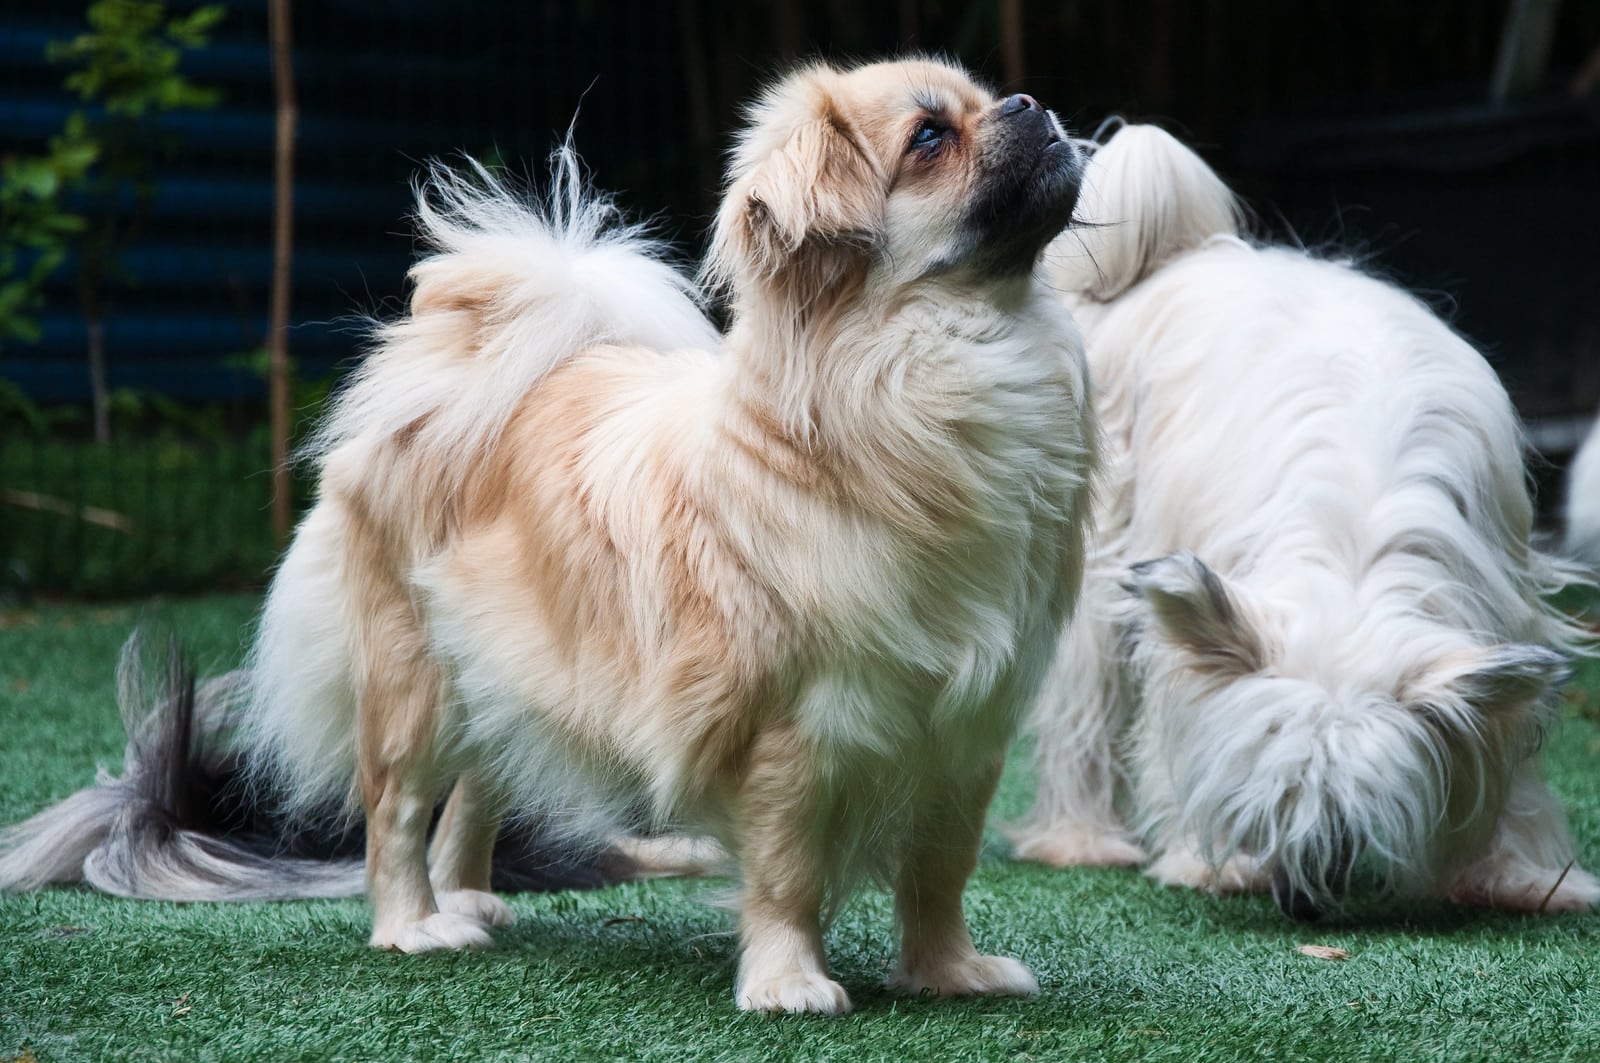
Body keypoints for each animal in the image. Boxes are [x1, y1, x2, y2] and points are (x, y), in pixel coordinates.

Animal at [1017, 122, 1593, 922]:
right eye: (1268, 801)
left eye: (1356, 813)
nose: (1302, 903)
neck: (1353, 558)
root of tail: (1181, 256)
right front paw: (1209, 862)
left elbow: (1508, 768)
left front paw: (1524, 876)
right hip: (1103, 566)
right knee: (1084, 705)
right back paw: (1081, 840)